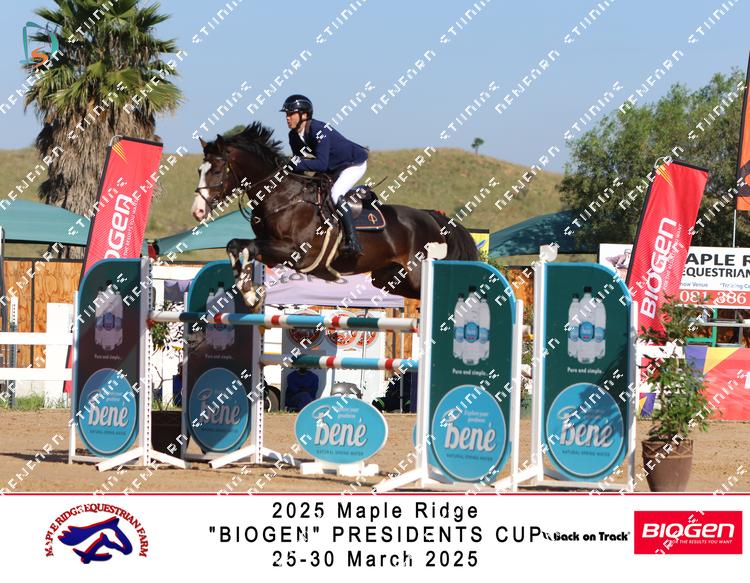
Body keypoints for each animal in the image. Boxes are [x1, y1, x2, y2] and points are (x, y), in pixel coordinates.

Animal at [191, 122, 478, 308]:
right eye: (199, 170)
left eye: (216, 170)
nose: (197, 210)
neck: (282, 197)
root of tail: (432, 217)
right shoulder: (272, 250)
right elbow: (237, 245)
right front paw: (250, 293)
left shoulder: (295, 252)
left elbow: (248, 247)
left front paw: (251, 294)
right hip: (390, 279)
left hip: (418, 273)